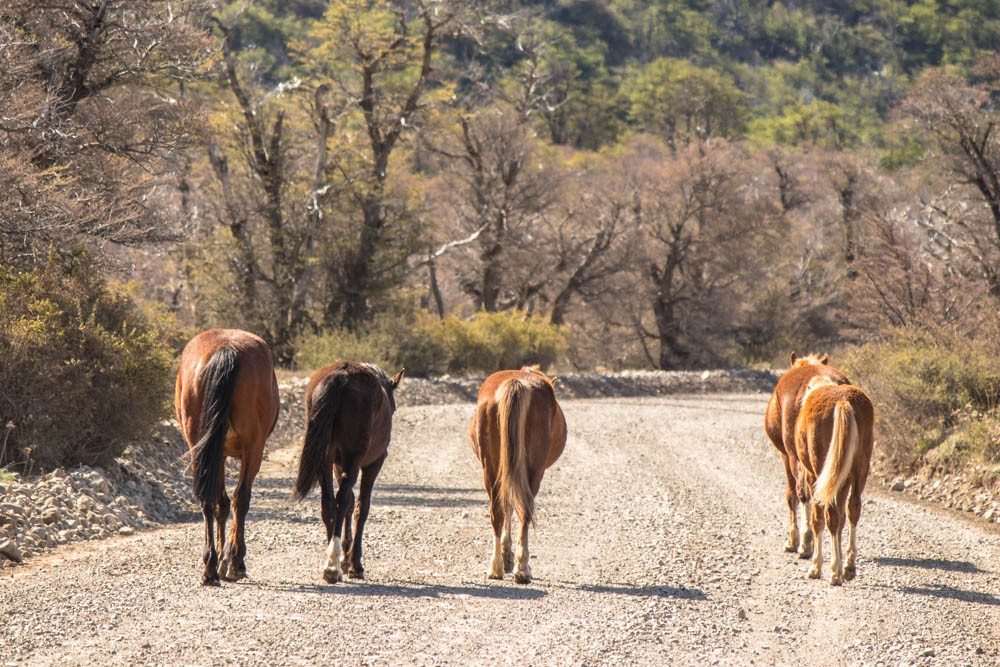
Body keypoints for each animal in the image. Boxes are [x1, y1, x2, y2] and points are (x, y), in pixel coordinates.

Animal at [174, 328, 280, 584]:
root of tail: (226, 349)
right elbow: (235, 500)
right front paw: (230, 559)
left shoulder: (215, 453)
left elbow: (221, 503)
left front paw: (221, 559)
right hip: (253, 448)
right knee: (241, 498)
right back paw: (235, 562)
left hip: (200, 447)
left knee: (209, 500)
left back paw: (210, 567)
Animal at [292, 360, 402, 584]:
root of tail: (341, 376)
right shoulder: (373, 463)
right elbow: (360, 507)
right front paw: (354, 563)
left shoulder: (337, 464)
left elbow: (349, 503)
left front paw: (345, 557)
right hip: (354, 457)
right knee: (341, 500)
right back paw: (332, 566)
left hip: (325, 460)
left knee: (328, 503)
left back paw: (331, 560)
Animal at [470, 366, 568, 584]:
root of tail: (516, 383)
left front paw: (506, 556)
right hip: (534, 471)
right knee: (524, 511)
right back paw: (522, 568)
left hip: (491, 469)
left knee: (497, 511)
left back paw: (496, 567)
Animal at [760, 352, 848, 560]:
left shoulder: (786, 455)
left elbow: (792, 494)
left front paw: (793, 539)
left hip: (796, 457)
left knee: (802, 492)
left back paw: (805, 542)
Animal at [792, 378, 872, 588]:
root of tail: (843, 401)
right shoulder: (843, 480)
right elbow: (843, 517)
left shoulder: (814, 479)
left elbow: (818, 520)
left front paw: (816, 566)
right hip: (860, 468)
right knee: (853, 508)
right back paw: (849, 566)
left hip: (822, 473)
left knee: (830, 515)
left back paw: (835, 571)